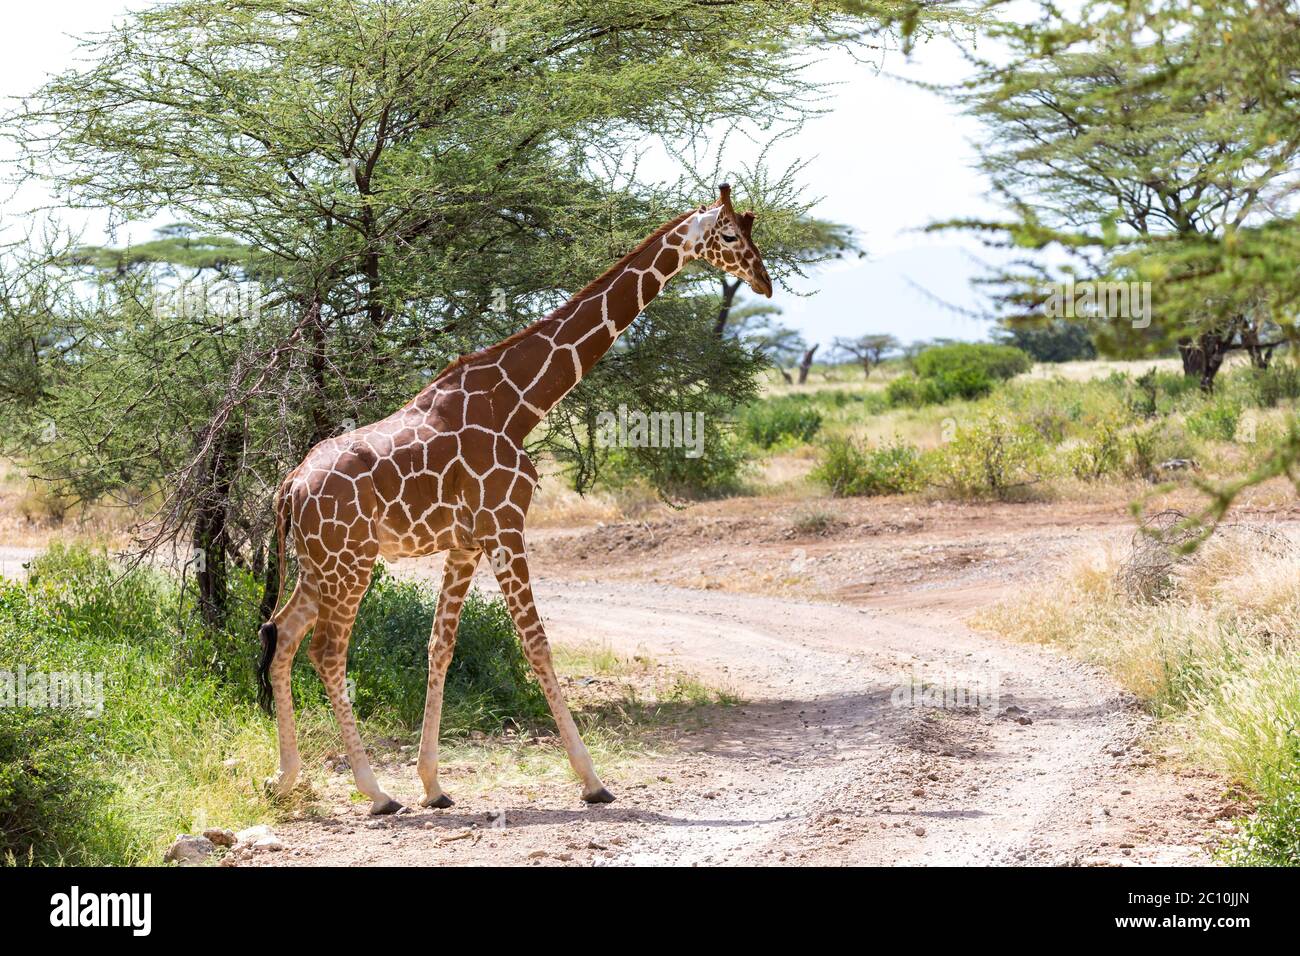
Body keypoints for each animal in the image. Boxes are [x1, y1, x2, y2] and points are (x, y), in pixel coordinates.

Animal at [257, 184, 772, 813]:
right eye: (730, 234)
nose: (765, 281)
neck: (521, 403)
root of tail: (289, 486)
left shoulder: (465, 543)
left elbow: (439, 646)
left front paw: (433, 784)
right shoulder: (505, 526)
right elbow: (537, 644)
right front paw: (592, 780)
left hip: (320, 565)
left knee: (281, 633)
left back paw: (286, 778)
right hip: (350, 562)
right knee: (326, 651)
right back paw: (375, 792)